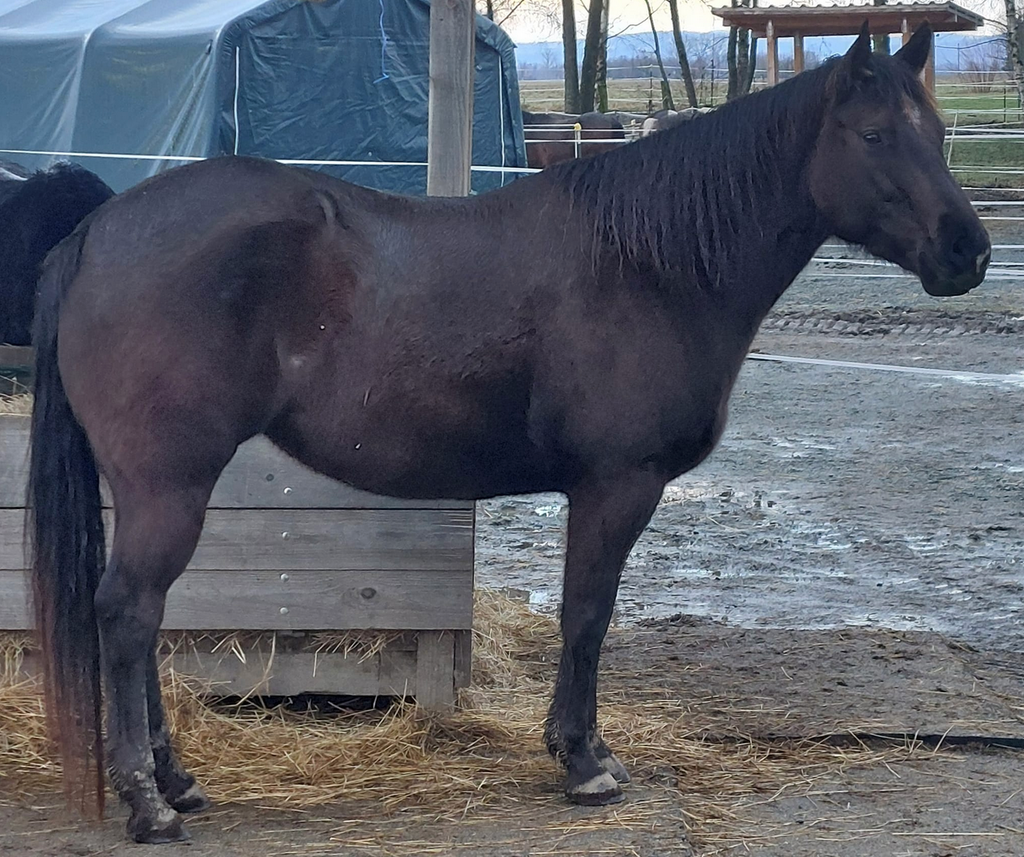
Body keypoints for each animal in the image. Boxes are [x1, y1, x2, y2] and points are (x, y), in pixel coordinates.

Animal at [32, 26, 987, 843]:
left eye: (938, 132)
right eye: (874, 134)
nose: (968, 251)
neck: (650, 263)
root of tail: (100, 231)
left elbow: (585, 613)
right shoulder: (617, 483)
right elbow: (587, 614)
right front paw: (585, 761)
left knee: (144, 616)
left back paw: (178, 779)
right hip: (169, 484)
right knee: (127, 613)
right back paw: (150, 802)